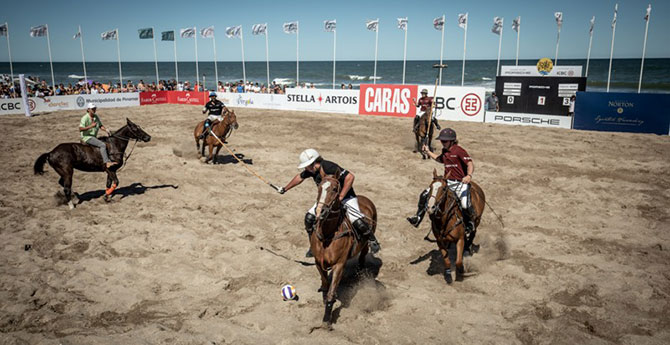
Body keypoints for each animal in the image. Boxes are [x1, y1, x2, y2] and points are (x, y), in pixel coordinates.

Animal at [314, 171, 378, 326]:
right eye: (319, 187)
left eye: (335, 189)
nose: (320, 211)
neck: (328, 235)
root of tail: (365, 198)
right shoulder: (318, 262)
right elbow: (326, 285)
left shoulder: (339, 265)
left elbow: (331, 293)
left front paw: (327, 320)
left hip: (366, 242)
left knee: (362, 256)